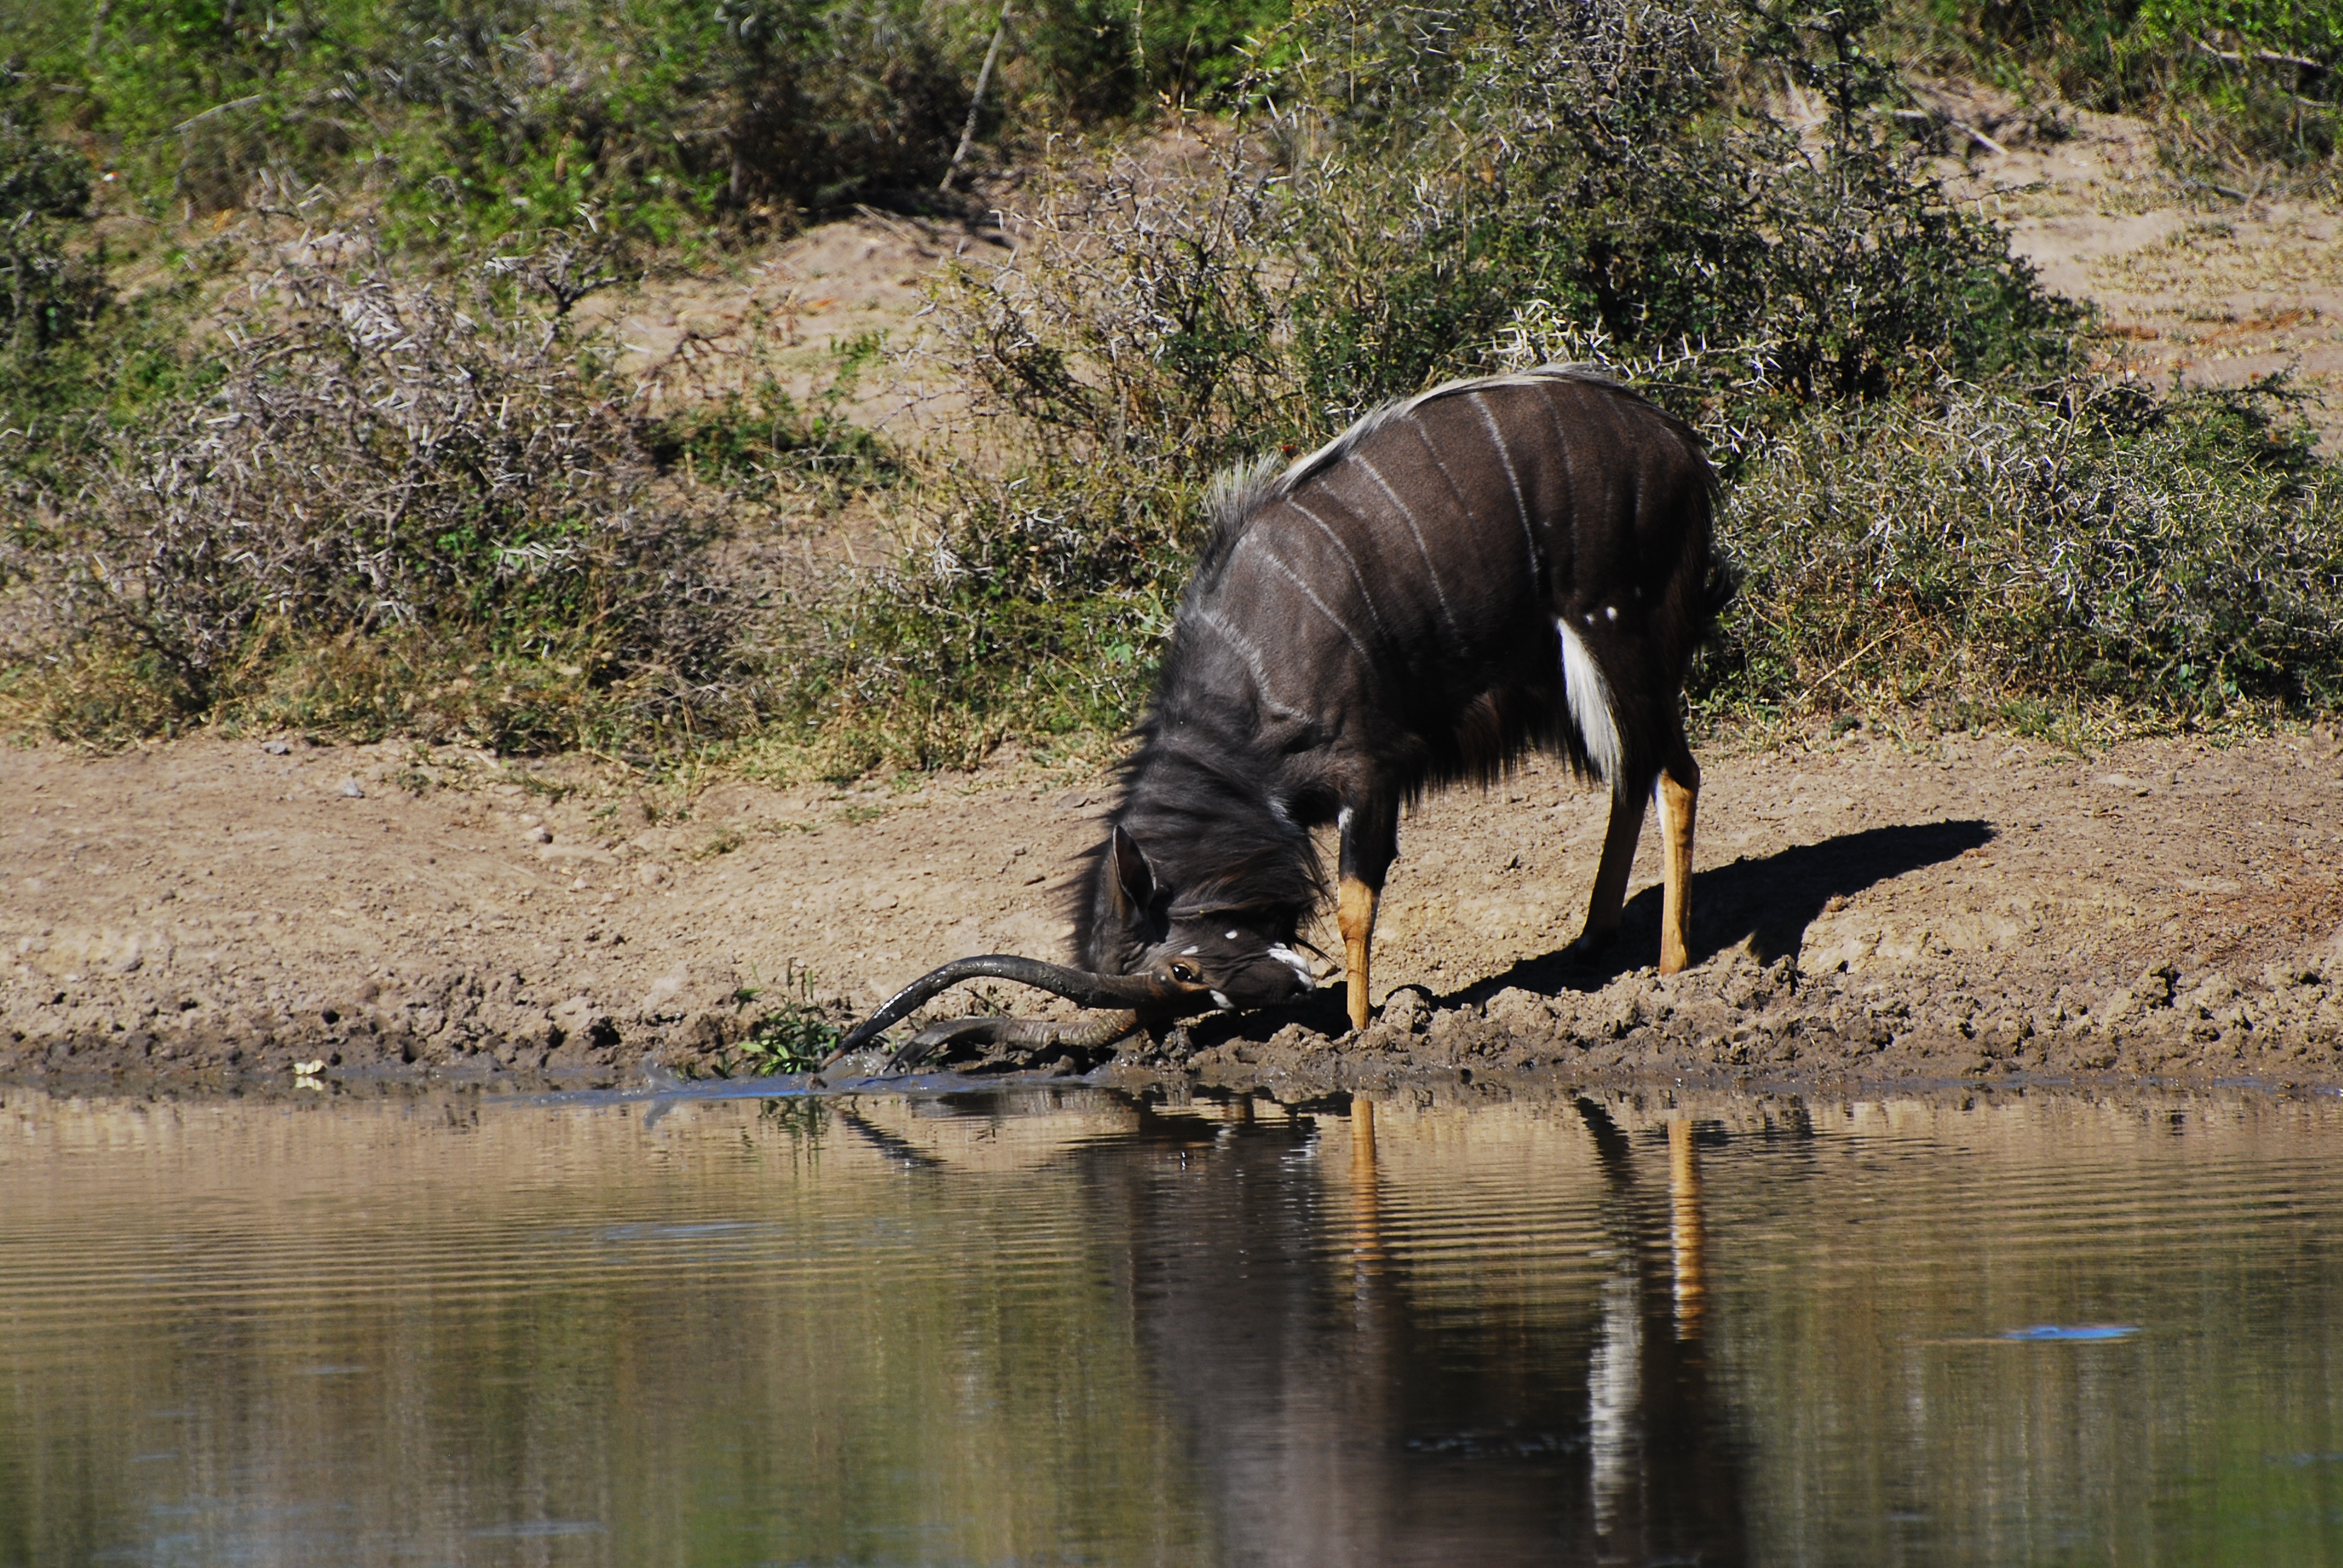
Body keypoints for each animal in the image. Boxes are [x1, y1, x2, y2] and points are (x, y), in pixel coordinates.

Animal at [824, 365, 1724, 1068]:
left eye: (1181, 974)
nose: (1284, 988)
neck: (1245, 697)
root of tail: (1676, 444)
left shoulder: (1369, 768)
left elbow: (1358, 898)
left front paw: (1359, 1024)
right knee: (1631, 773)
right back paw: (1592, 940)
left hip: (1619, 631)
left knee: (1675, 772)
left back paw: (1672, 964)